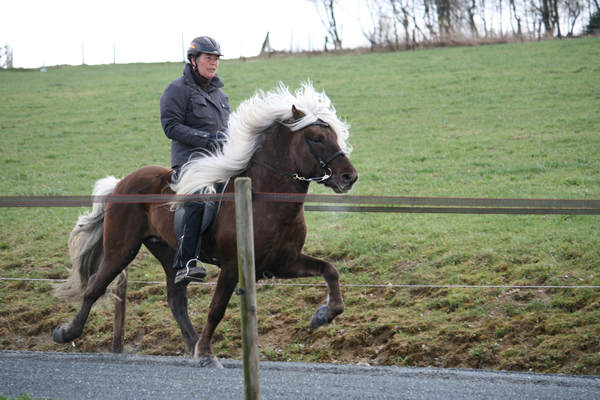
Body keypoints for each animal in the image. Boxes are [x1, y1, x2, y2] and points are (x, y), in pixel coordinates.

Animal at [52, 82, 356, 368]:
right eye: (317, 138)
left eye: (335, 135)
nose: (349, 177)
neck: (263, 198)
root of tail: (121, 183)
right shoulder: (233, 266)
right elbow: (216, 309)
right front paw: (208, 354)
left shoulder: (283, 262)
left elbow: (330, 270)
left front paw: (324, 315)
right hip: (121, 248)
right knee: (95, 286)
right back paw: (67, 333)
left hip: (167, 252)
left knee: (176, 300)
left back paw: (192, 345)